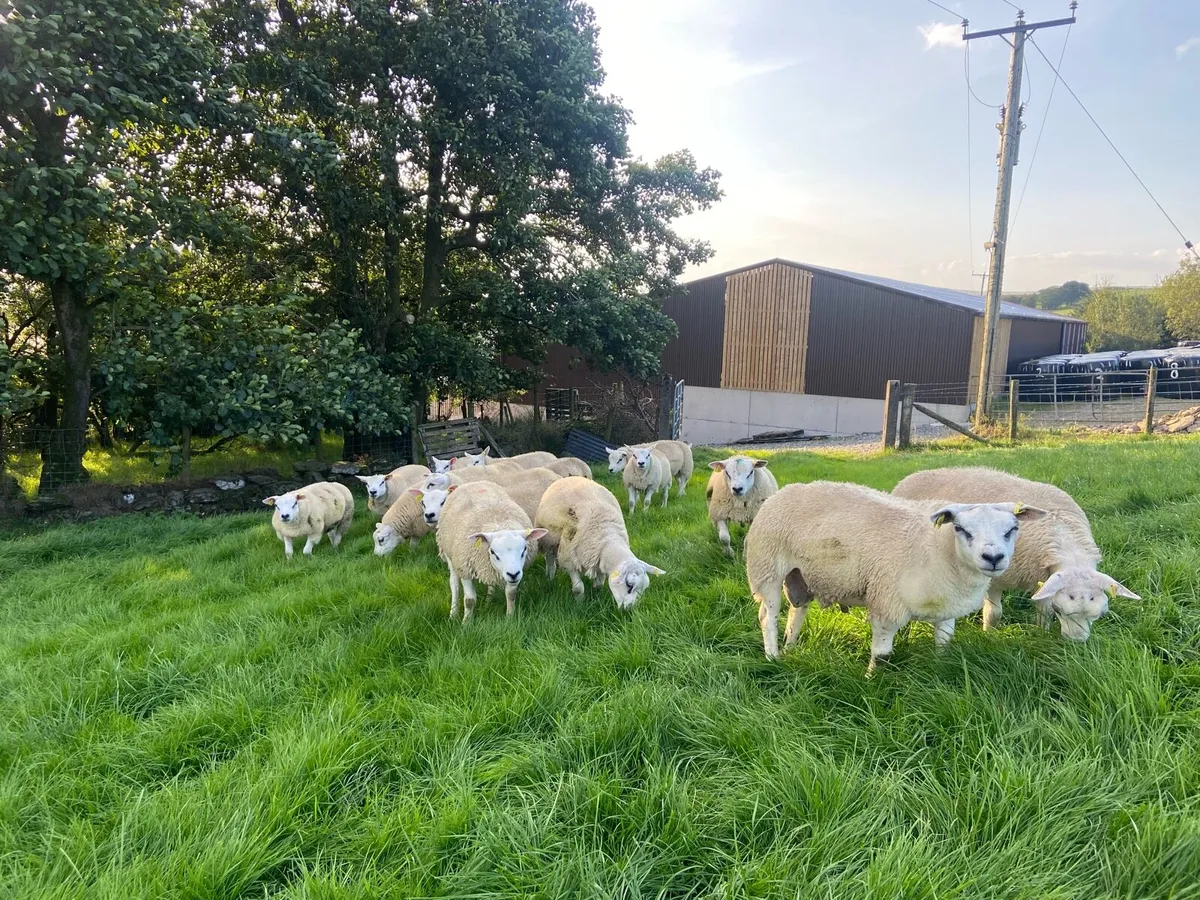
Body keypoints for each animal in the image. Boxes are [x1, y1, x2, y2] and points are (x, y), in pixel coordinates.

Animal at [435, 481, 547, 620]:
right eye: (493, 552)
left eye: (524, 550)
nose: (513, 574)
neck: (498, 523)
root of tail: (473, 483)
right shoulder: (465, 568)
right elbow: (469, 600)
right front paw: (466, 622)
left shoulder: (514, 572)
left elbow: (511, 594)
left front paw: (510, 617)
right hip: (450, 555)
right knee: (454, 584)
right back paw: (453, 614)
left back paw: (489, 600)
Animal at [535, 476, 665, 608]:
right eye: (629, 585)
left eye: (644, 589)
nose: (630, 609)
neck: (607, 538)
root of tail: (570, 477)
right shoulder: (569, 559)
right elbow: (578, 588)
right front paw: (580, 603)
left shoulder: (598, 559)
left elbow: (599, 583)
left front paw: (596, 593)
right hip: (549, 540)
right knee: (550, 558)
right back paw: (550, 577)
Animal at [745, 481, 1046, 672]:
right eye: (961, 528)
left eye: (1013, 528)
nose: (993, 558)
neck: (939, 549)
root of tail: (785, 490)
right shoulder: (886, 604)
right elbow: (882, 655)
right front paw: (871, 681)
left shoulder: (946, 607)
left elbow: (943, 644)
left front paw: (938, 669)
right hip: (767, 567)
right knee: (768, 616)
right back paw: (773, 656)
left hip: (801, 576)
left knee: (797, 610)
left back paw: (790, 647)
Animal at [891, 466, 1139, 640]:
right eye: (1060, 609)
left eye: (1102, 614)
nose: (1076, 642)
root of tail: (912, 475)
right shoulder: (995, 579)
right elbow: (995, 613)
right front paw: (989, 636)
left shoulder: (1043, 576)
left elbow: (1042, 609)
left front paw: (1042, 631)